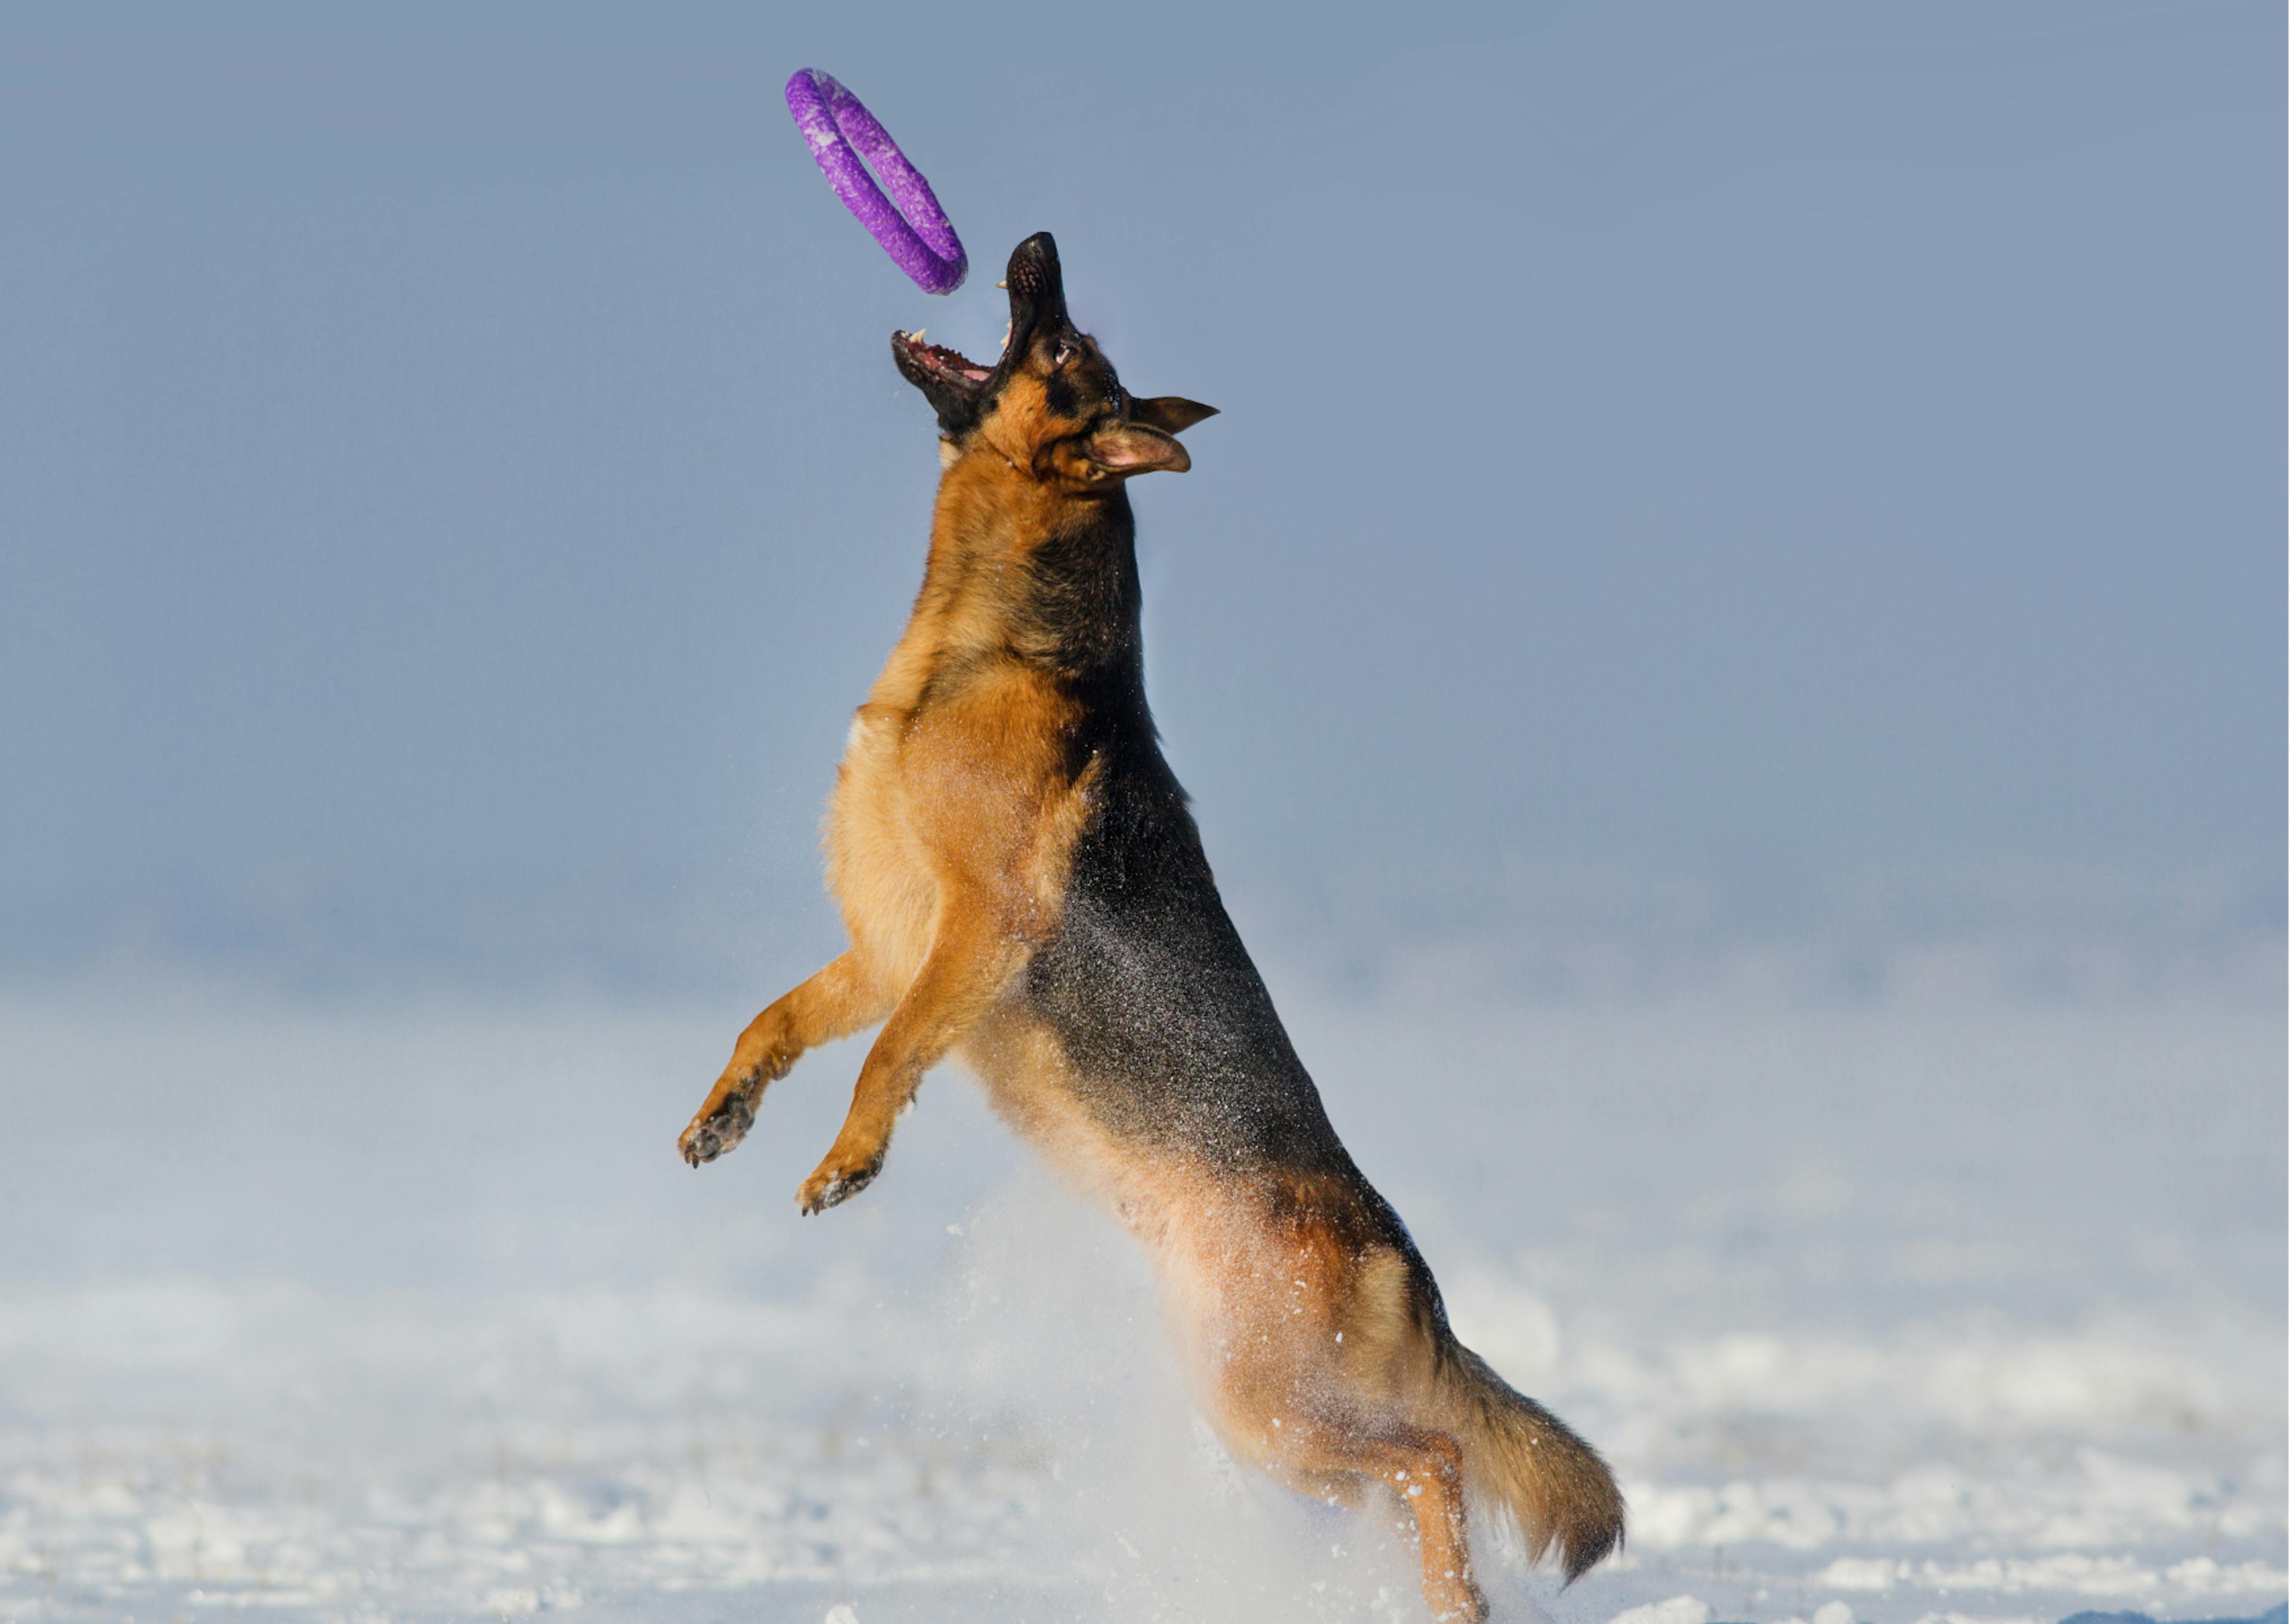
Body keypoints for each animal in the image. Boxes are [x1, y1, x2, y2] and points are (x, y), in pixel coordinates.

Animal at [677, 231, 1630, 1622]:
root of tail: (1400, 1254)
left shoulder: (975, 932)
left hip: (1264, 1402)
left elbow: (887, 1054)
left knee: (1437, 1457)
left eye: (1065, 344)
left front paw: (848, 1160)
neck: (986, 639)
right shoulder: (893, 940)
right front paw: (727, 1113)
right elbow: (779, 1018)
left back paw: (1453, 1604)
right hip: (1260, 1418)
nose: (1036, 245)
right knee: (1400, 1474)